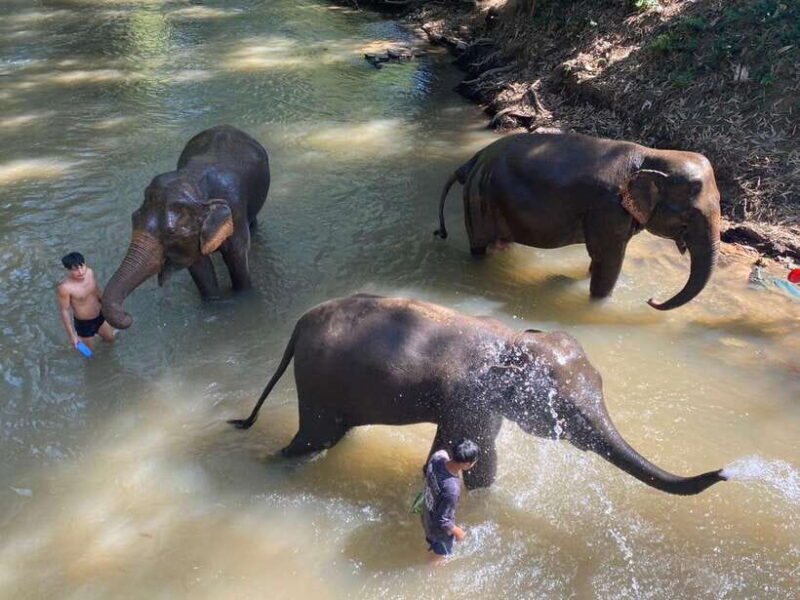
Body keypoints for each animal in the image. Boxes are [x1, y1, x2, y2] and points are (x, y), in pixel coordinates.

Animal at [102, 125, 270, 329]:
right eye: (134, 218)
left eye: (171, 233)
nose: (128, 316)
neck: (193, 184)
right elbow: (199, 266)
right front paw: (213, 304)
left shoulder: (235, 207)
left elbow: (236, 254)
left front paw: (243, 298)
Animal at [229, 294, 726, 495]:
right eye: (567, 413)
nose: (723, 472)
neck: (509, 339)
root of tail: (299, 324)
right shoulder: (470, 397)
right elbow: (474, 460)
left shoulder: (482, 404)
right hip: (318, 382)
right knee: (311, 439)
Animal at [434, 132, 722, 310]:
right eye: (690, 215)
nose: (651, 300)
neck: (651, 155)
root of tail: (472, 161)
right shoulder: (607, 208)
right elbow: (609, 260)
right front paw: (598, 305)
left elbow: (600, 259)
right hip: (478, 199)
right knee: (479, 247)